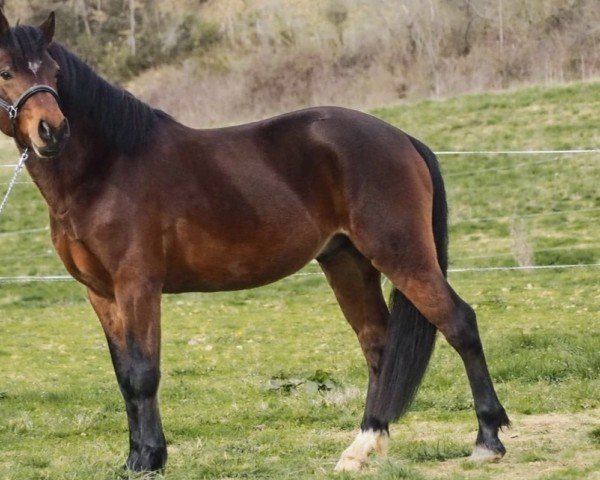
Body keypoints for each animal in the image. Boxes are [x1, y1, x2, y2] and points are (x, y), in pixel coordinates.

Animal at [0, 13, 508, 474]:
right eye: (6, 72)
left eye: (54, 73)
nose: (52, 131)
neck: (107, 168)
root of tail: (402, 138)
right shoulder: (101, 294)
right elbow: (125, 376)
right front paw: (135, 458)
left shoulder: (137, 286)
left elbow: (144, 373)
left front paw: (150, 459)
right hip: (347, 262)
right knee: (379, 346)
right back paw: (363, 445)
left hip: (402, 253)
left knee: (458, 322)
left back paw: (487, 439)